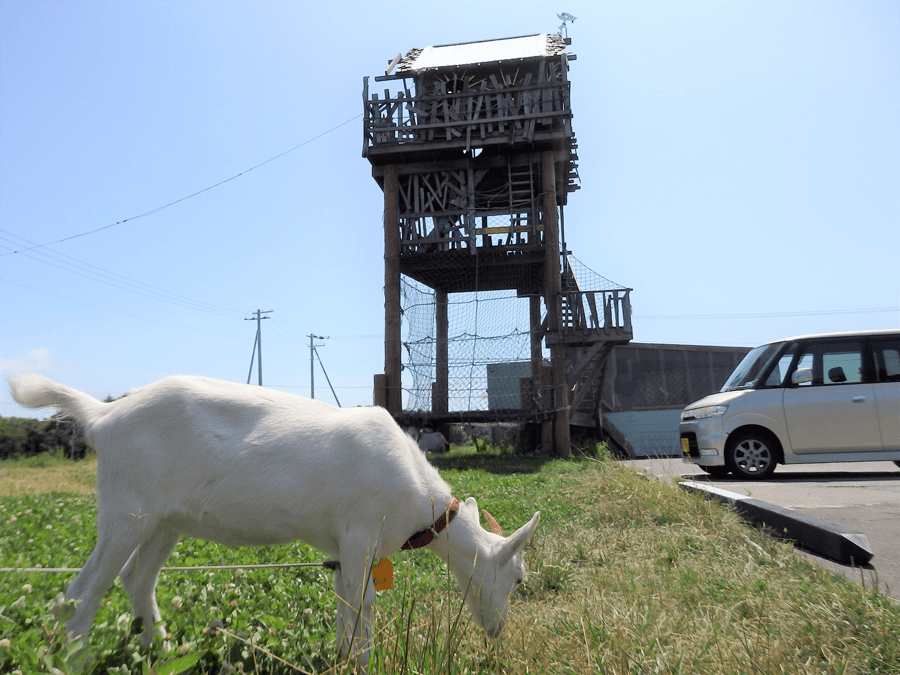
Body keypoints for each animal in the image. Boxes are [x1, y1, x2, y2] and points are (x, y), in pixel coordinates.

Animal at [10, 378, 536, 668]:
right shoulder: (361, 533)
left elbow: (345, 601)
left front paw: (341, 657)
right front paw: (363, 661)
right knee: (81, 593)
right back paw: (78, 658)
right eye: (518, 577)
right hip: (126, 510)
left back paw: (162, 651)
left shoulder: (343, 546)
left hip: (164, 520)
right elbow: (363, 603)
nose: (497, 632)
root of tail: (103, 415)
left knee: (136, 578)